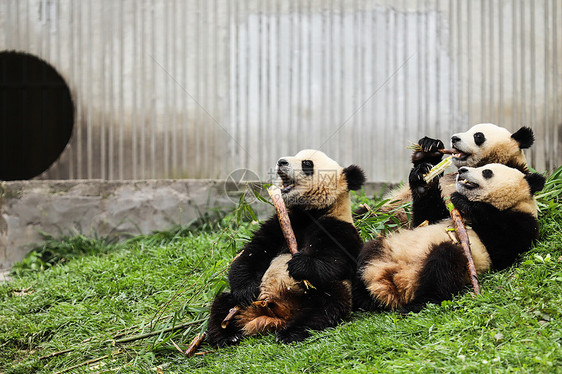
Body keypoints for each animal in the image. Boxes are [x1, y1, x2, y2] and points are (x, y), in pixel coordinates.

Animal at [208, 150, 366, 348]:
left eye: (307, 164)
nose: (281, 162)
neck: (311, 212)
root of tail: (279, 313)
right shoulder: (281, 223)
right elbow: (253, 252)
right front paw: (246, 290)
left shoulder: (339, 227)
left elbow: (338, 261)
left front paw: (299, 265)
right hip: (245, 303)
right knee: (222, 303)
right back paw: (227, 335)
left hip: (327, 293)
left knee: (325, 307)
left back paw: (289, 333)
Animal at [354, 164, 544, 312]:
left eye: (486, 171)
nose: (462, 170)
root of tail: (396, 282)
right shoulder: (439, 215)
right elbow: (425, 217)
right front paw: (423, 179)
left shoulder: (523, 224)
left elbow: (503, 247)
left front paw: (465, 202)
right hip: (386, 248)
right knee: (366, 253)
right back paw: (362, 296)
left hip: (446, 266)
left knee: (444, 265)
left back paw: (417, 304)